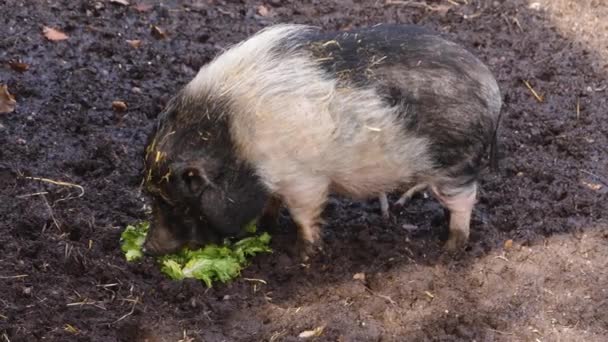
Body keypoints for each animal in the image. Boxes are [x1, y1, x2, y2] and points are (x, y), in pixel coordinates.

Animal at [140, 23, 502, 260]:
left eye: (177, 204)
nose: (148, 248)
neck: (236, 143)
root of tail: (493, 90)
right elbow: (273, 205)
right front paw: (265, 229)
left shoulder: (304, 179)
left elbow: (305, 215)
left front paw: (301, 255)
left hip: (454, 163)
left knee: (464, 202)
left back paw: (449, 249)